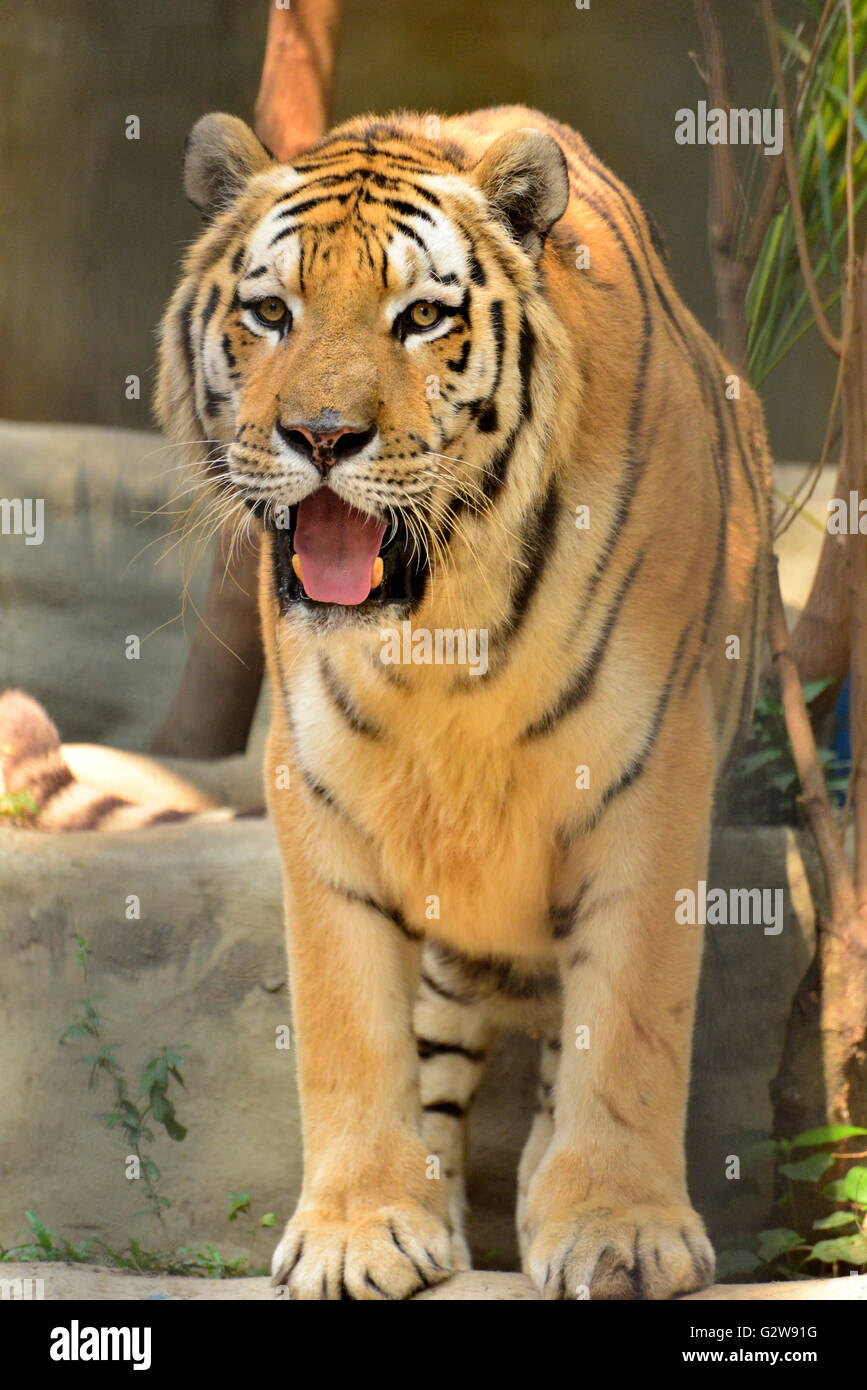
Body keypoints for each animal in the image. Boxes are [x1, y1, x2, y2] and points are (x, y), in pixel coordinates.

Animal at [3, 102, 766, 1295]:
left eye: (420, 318)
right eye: (272, 312)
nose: (321, 437)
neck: (440, 619)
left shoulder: (654, 764)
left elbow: (632, 1016)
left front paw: (620, 1229)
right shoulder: (319, 781)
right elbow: (346, 1023)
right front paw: (361, 1228)